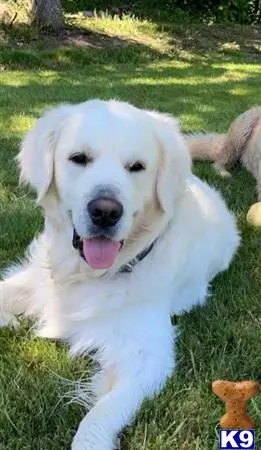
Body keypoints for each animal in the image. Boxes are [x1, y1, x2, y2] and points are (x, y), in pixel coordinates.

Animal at [0, 99, 239, 450]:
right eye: (79, 158)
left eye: (136, 166)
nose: (105, 211)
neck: (89, 275)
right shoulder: (39, 282)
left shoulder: (149, 353)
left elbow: (100, 414)